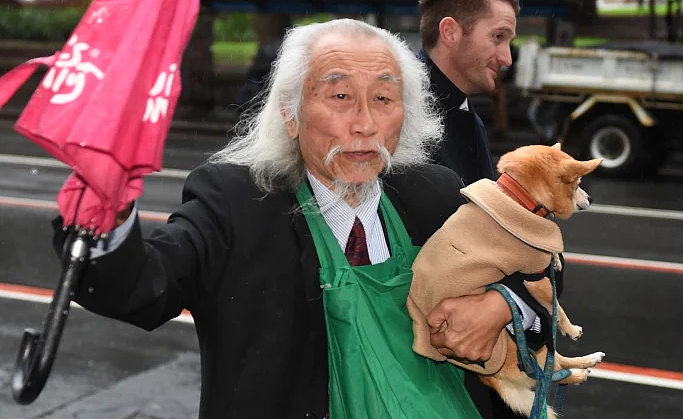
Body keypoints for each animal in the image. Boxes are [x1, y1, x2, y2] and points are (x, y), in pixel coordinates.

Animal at [406, 144, 604, 416]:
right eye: (577, 185)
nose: (591, 199)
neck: (516, 198)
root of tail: (489, 378)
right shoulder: (535, 279)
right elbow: (556, 305)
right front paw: (570, 328)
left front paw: (555, 258)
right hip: (524, 348)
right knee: (549, 370)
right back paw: (577, 372)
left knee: (553, 365)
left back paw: (587, 361)